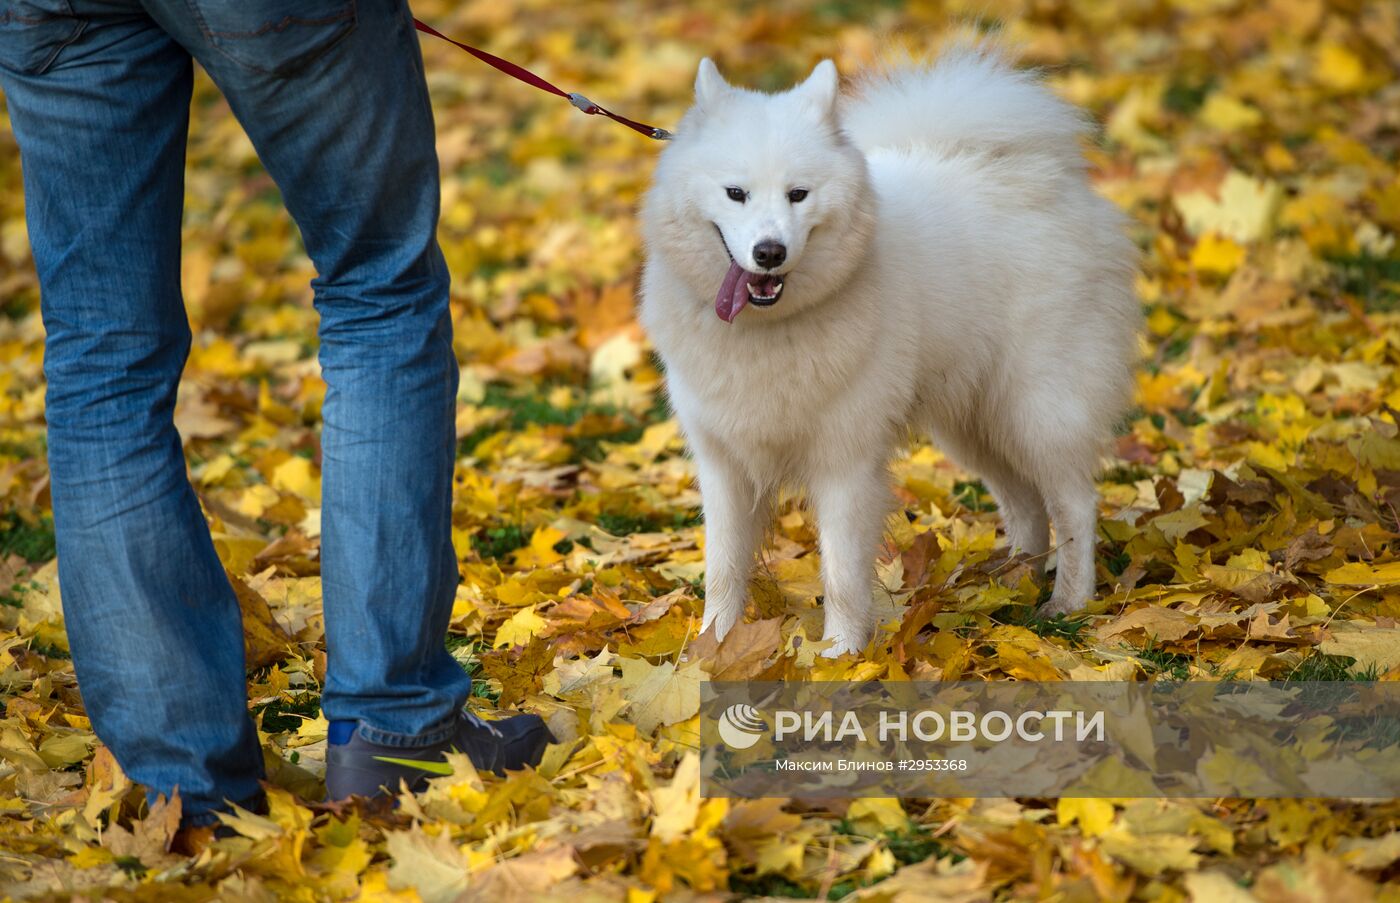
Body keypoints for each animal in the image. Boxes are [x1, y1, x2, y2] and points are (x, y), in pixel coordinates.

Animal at [641, 49, 1142, 655]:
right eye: (735, 193)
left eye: (798, 194)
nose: (769, 252)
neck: (768, 330)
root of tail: (1046, 178)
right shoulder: (723, 463)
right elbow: (723, 567)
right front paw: (711, 650)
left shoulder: (845, 461)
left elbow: (840, 573)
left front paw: (839, 656)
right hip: (974, 424)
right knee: (1025, 504)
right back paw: (1011, 584)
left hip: (1037, 410)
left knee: (1074, 505)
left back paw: (1069, 601)